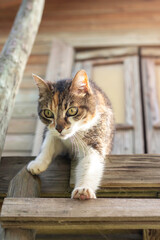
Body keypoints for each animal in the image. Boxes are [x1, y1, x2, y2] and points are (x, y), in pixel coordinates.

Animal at [27, 70, 115, 201]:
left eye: (72, 111)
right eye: (48, 113)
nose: (59, 128)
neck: (72, 136)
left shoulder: (95, 136)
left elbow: (89, 164)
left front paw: (83, 189)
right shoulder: (50, 131)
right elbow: (48, 143)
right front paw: (38, 163)